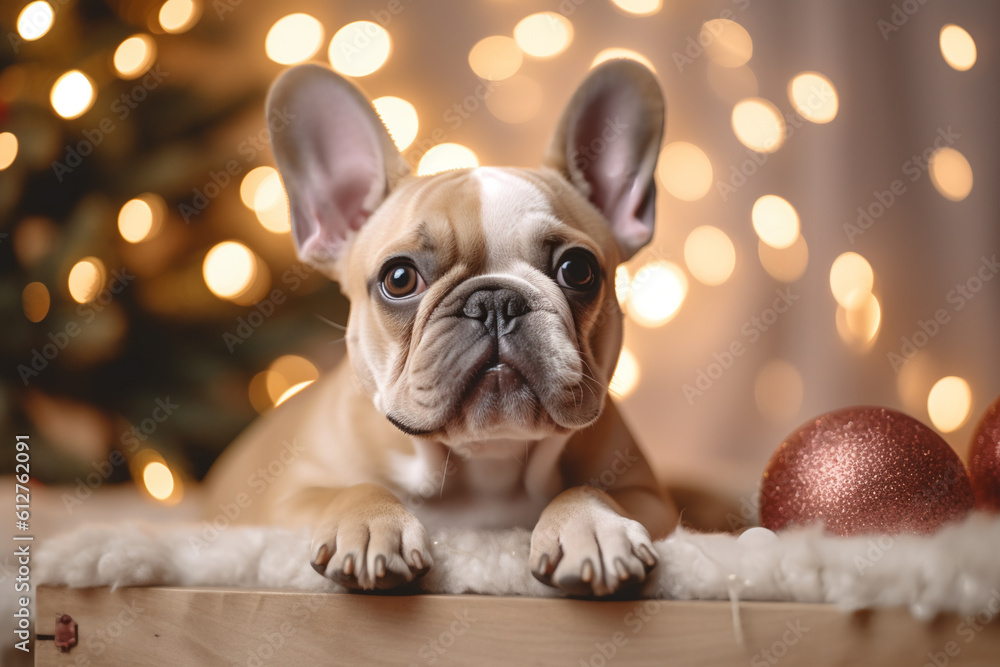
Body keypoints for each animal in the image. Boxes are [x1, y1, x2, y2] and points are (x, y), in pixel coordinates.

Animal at [207, 60, 684, 596]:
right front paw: (371, 526)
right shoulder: (284, 503)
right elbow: (350, 489)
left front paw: (592, 527)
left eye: (578, 270)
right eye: (399, 278)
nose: (495, 301)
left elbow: (589, 490)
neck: (484, 460)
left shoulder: (649, 496)